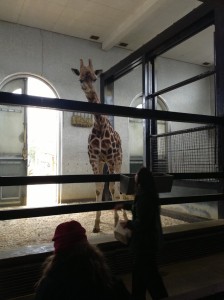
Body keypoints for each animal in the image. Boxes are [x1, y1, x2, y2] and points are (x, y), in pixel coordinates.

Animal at [72, 58, 127, 232]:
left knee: (118, 186)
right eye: (80, 78)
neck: (100, 125)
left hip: (118, 159)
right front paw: (96, 224)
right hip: (104, 162)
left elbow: (113, 188)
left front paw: (116, 222)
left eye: (95, 78)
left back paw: (124, 217)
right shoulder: (94, 159)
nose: (87, 89)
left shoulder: (111, 158)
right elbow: (98, 187)